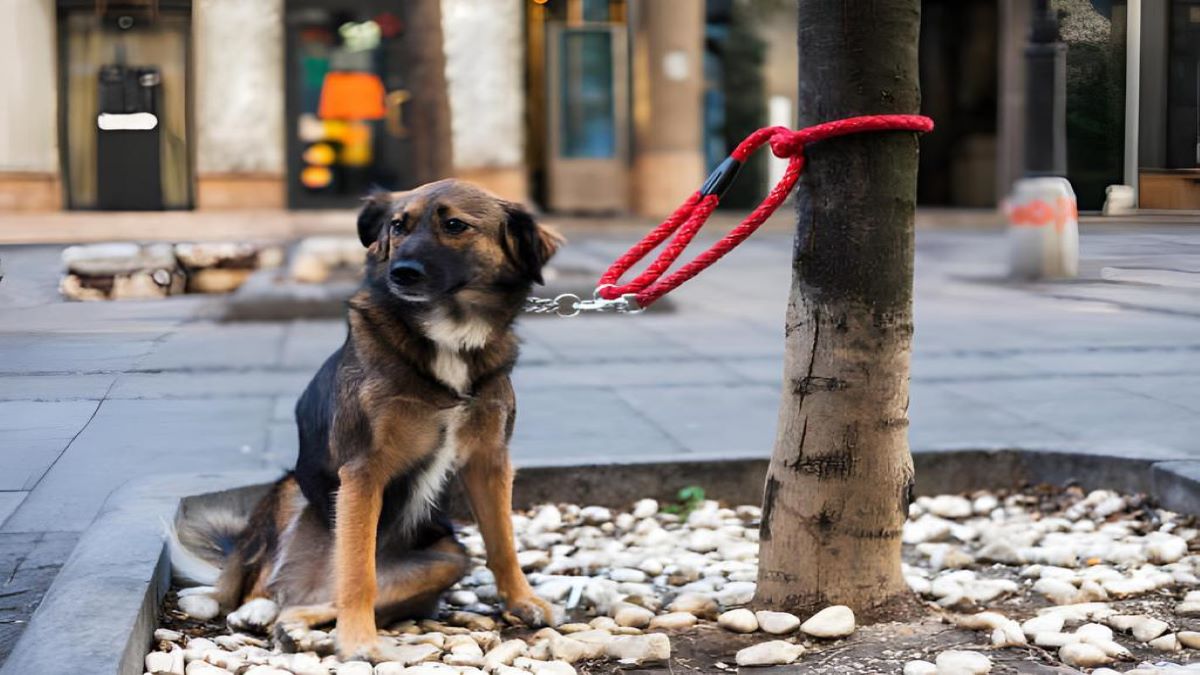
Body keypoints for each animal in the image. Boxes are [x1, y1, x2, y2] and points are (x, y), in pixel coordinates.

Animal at [172, 177, 561, 658]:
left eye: (454, 225)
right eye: (398, 225)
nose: (401, 273)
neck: (448, 333)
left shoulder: (489, 460)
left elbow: (502, 542)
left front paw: (523, 601)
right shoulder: (363, 469)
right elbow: (358, 572)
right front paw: (358, 640)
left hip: (448, 558)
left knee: (309, 601)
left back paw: (294, 627)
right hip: (291, 494)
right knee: (256, 577)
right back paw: (251, 607)